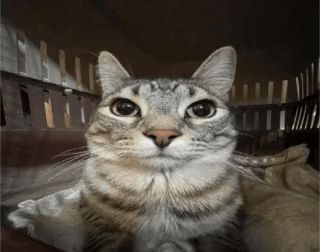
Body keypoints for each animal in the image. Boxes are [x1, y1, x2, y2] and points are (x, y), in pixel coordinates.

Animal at [80, 45, 242, 252]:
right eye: (124, 108)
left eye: (202, 110)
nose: (162, 134)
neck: (161, 191)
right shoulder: (92, 212)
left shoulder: (227, 226)